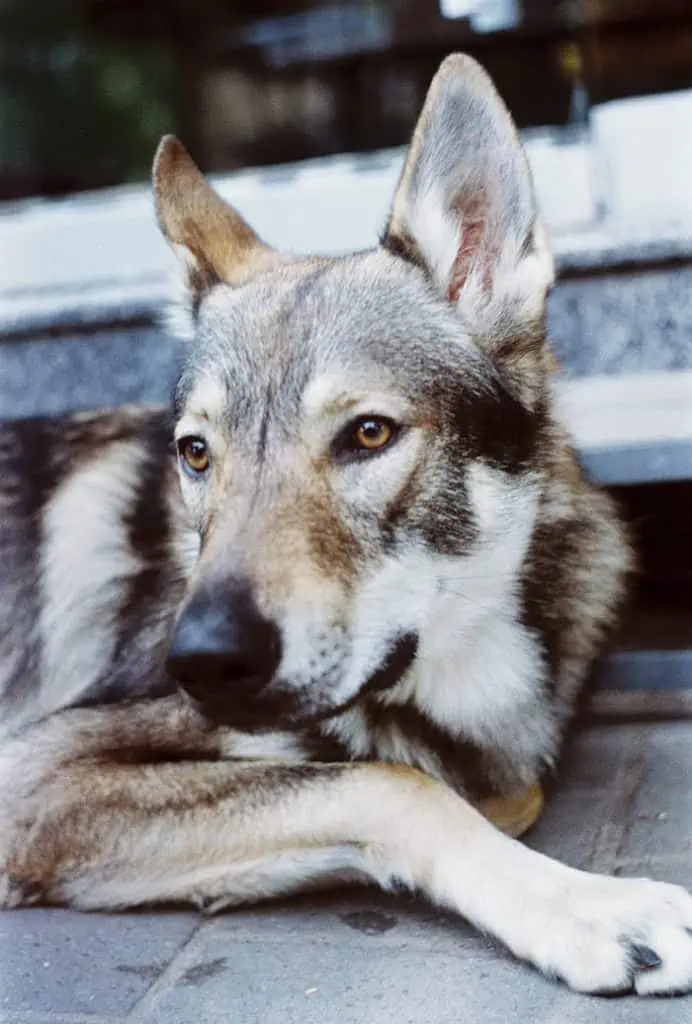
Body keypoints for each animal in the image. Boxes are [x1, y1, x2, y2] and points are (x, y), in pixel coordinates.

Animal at [1, 54, 692, 991]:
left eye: (368, 433)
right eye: (196, 454)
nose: (201, 661)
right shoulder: (37, 775)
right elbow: (388, 783)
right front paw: (595, 908)